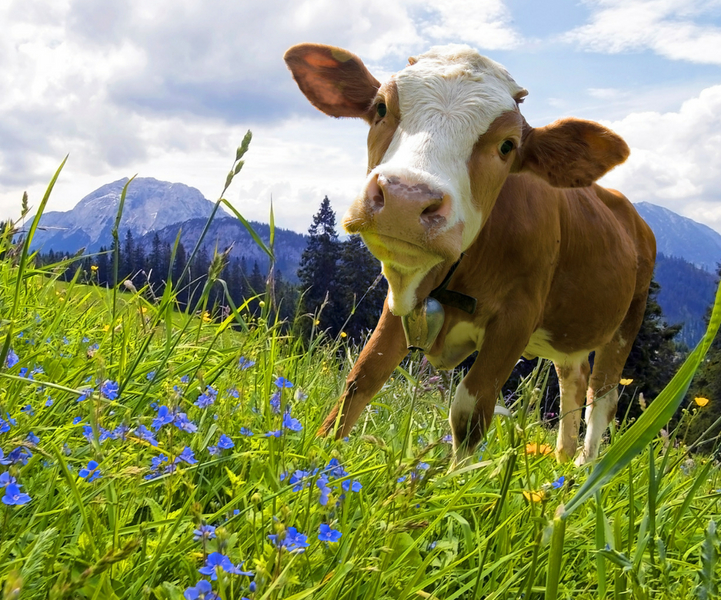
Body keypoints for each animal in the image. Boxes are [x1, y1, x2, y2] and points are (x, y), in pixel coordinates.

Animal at [284, 43, 656, 464]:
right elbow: (362, 378)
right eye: (380, 108)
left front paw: (452, 480)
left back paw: (582, 468)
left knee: (602, 399)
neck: (457, 272)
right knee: (571, 381)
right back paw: (562, 459)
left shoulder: (517, 318)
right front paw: (319, 455)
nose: (405, 198)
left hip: (628, 322)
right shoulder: (403, 297)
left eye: (507, 146)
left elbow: (470, 413)